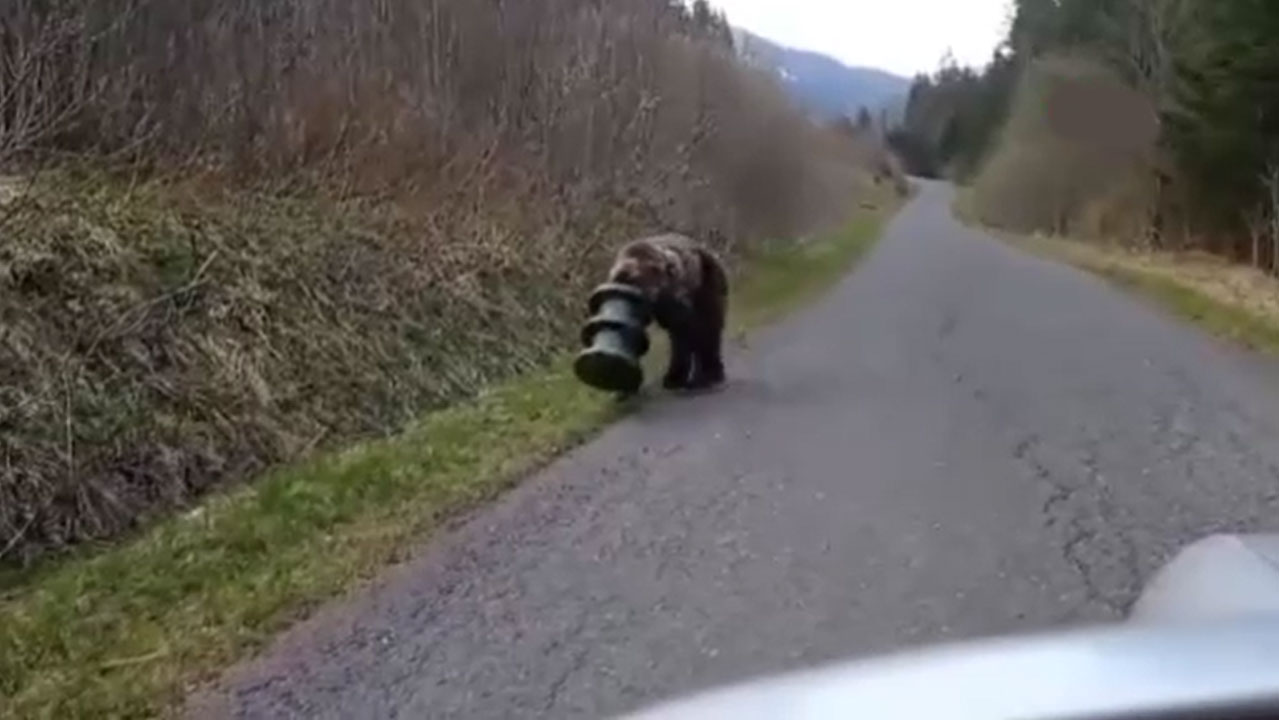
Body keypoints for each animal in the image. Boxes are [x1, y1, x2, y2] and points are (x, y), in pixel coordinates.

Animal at [603, 234, 726, 391]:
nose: (682, 300)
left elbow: (694, 329)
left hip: (708, 282)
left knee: (708, 328)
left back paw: (710, 373)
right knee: (682, 339)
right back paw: (676, 377)